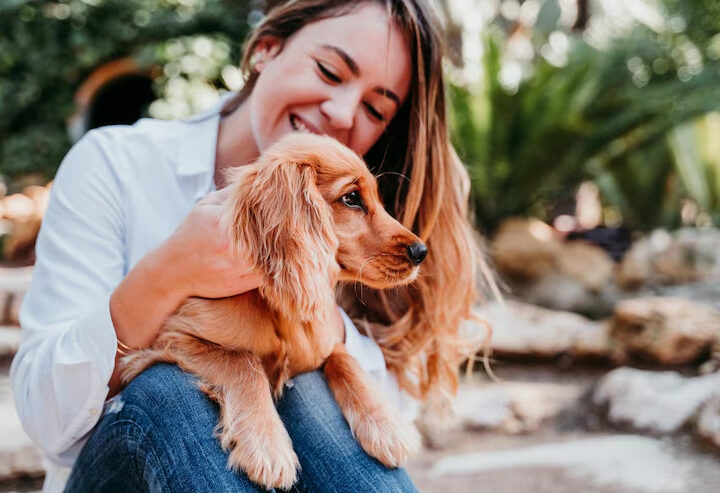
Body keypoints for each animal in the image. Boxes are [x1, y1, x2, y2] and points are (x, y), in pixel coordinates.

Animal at [121, 132, 428, 488]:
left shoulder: (323, 341)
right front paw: (267, 447)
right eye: (351, 198)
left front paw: (386, 427)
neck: (276, 308)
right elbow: (244, 362)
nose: (421, 251)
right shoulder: (168, 338)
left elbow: (344, 359)